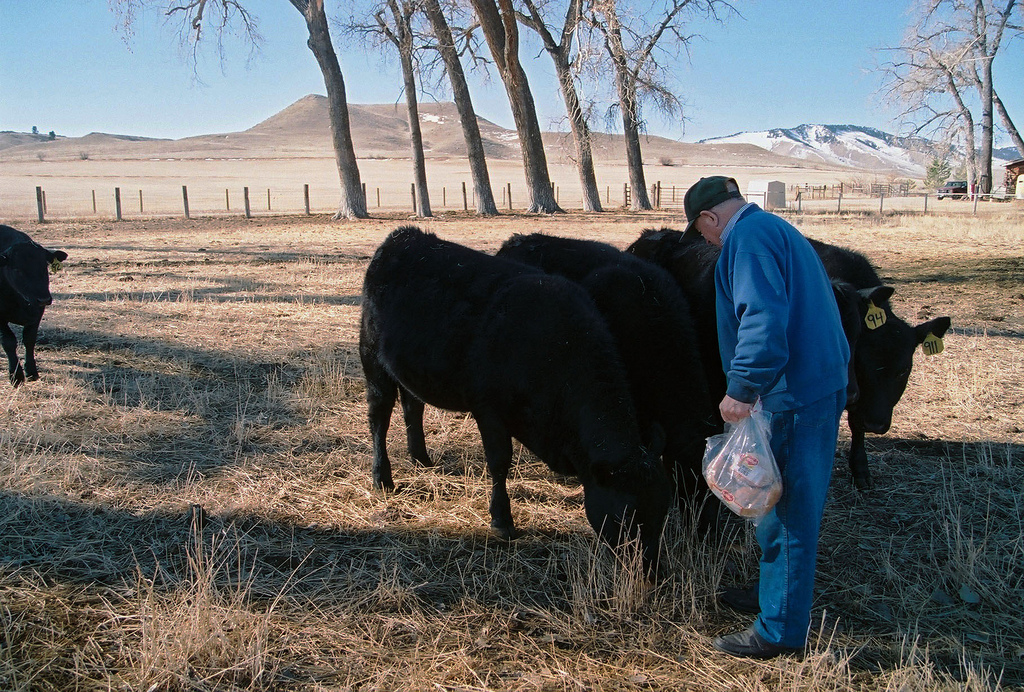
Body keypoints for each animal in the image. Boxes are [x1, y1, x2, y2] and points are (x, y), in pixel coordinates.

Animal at [1, 225, 67, 387]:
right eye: (17, 270)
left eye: (44, 266)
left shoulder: (37, 313)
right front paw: (16, 375)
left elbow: (29, 339)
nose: (43, 298)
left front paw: (31, 371)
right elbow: (9, 341)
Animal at [359, 226, 672, 575]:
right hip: (373, 360)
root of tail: (402, 237)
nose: (652, 571)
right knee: (379, 417)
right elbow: (500, 462)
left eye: (663, 511)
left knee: (413, 406)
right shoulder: (489, 411)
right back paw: (382, 477)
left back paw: (421, 458)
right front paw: (502, 520)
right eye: (625, 517)